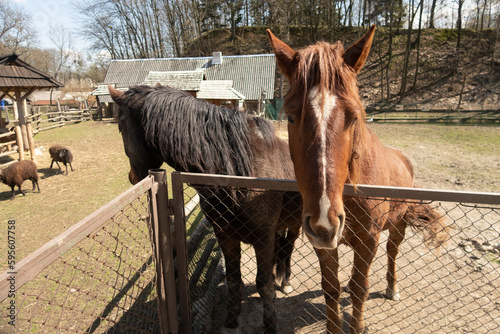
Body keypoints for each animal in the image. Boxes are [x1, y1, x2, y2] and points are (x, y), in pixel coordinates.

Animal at [109, 84, 300, 334]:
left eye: (120, 128)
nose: (132, 177)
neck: (238, 171)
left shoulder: (263, 237)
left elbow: (264, 283)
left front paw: (270, 326)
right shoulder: (225, 235)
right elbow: (234, 279)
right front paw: (231, 318)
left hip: (295, 225)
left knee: (288, 249)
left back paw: (286, 283)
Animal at [270, 24, 450, 332]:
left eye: (353, 117)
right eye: (292, 117)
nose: (324, 219)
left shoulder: (368, 241)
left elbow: (359, 288)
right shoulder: (323, 243)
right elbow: (331, 288)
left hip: (398, 225)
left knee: (392, 252)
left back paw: (392, 288)